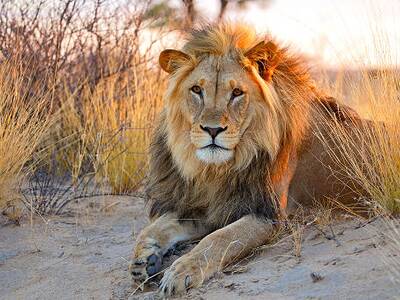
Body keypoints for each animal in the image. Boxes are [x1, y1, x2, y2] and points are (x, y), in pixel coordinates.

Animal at [130, 24, 366, 298]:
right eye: (197, 90)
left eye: (237, 93)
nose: (212, 130)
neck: (218, 170)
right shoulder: (211, 205)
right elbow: (154, 228)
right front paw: (144, 259)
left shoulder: (267, 214)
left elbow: (218, 240)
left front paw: (181, 272)